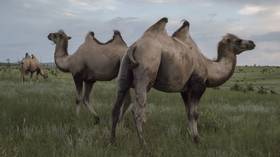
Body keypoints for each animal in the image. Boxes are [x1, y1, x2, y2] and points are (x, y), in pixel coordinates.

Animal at [110, 17, 255, 145]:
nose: (252, 43)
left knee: (116, 107)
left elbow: (188, 113)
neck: (209, 68)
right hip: (145, 73)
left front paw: (191, 137)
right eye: (238, 40)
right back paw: (143, 144)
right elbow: (195, 113)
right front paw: (197, 140)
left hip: (124, 71)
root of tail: (134, 46)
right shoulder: (198, 85)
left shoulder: (185, 90)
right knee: (137, 110)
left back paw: (113, 141)